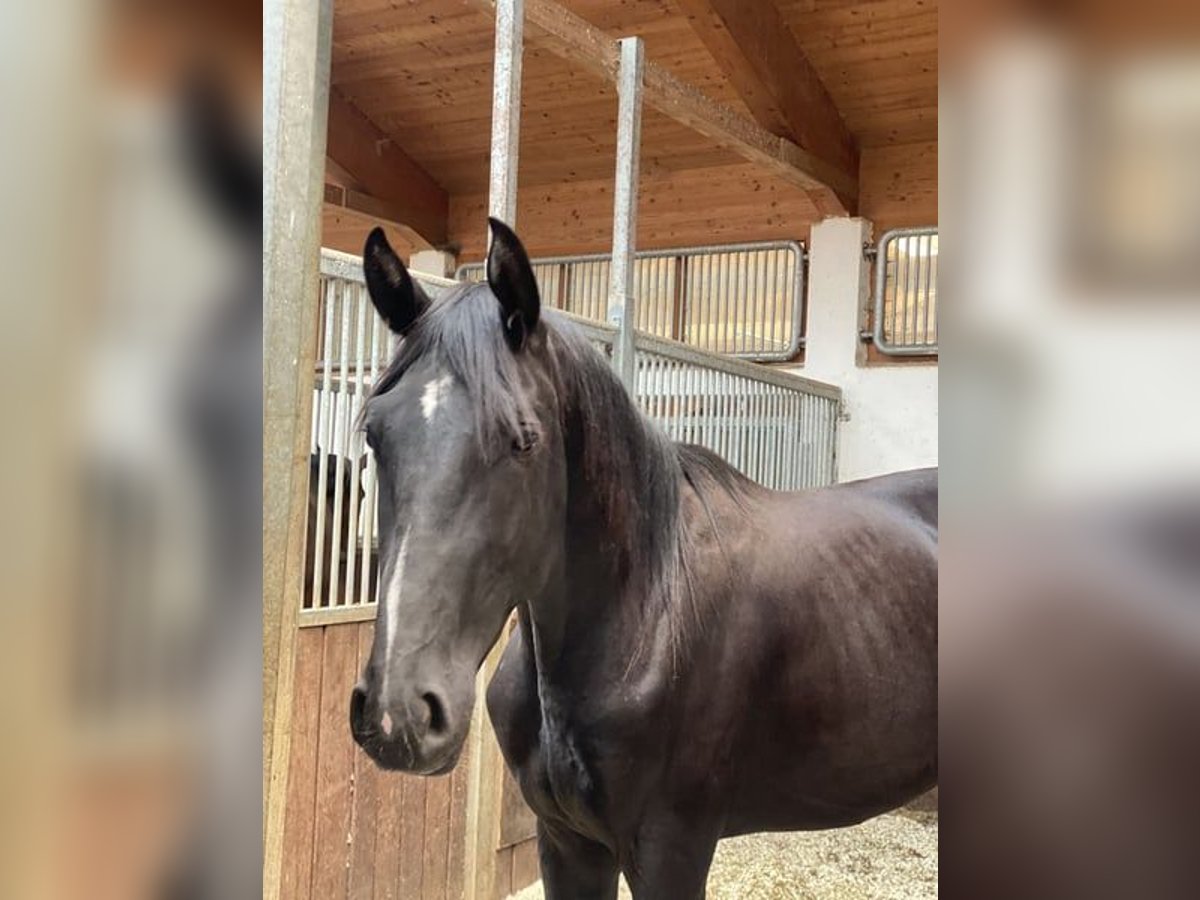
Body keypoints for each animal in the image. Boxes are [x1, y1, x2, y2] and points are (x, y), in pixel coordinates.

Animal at [349, 219, 938, 899]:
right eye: (375, 434)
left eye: (523, 440)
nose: (399, 713)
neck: (644, 612)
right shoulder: (566, 844)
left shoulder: (670, 850)